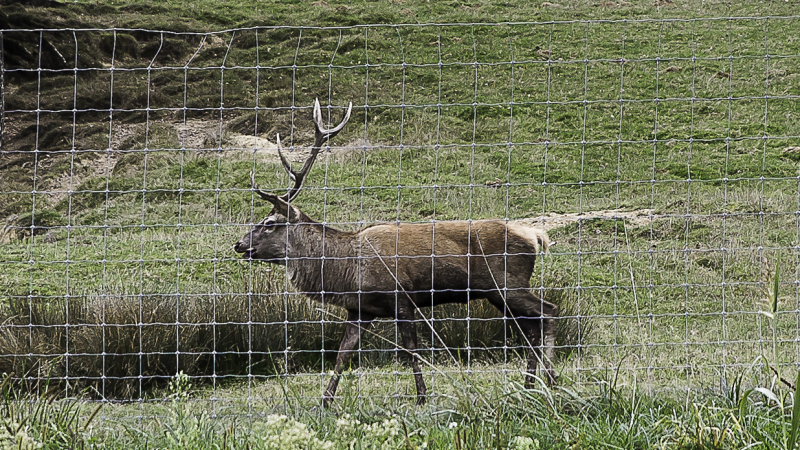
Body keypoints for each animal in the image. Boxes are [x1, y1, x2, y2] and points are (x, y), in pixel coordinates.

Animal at [234, 99, 558, 407]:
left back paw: (552, 381)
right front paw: (324, 402)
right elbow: (342, 354)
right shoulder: (360, 309)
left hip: (508, 282)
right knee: (531, 329)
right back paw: (530, 386)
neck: (348, 271)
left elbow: (411, 350)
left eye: (269, 224)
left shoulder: (402, 298)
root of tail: (536, 236)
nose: (238, 244)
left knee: (548, 311)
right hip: (497, 293)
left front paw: (422, 397)